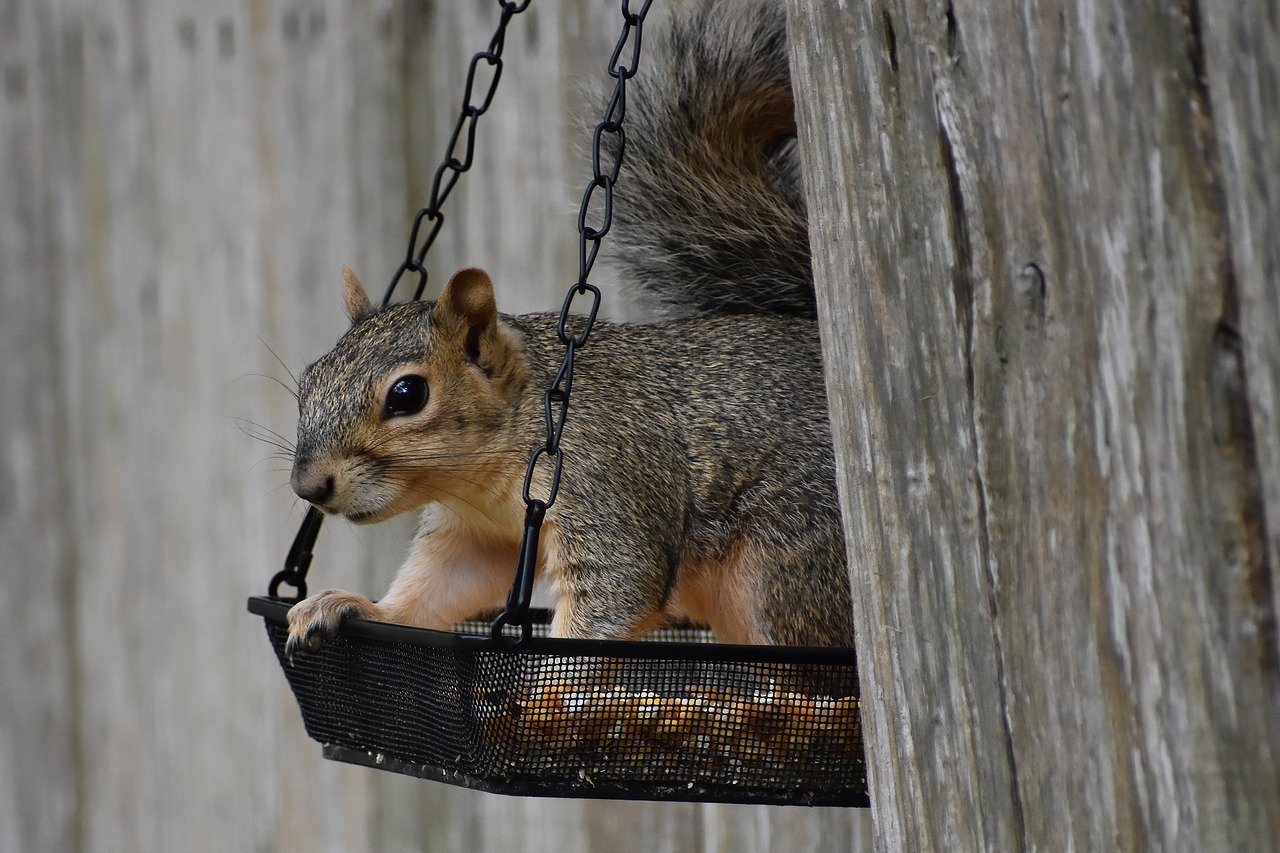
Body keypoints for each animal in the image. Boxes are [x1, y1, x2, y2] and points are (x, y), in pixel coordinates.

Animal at [285, 1, 855, 650]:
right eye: (308, 380)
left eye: (408, 394)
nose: (308, 487)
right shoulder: (474, 536)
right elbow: (438, 589)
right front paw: (354, 605)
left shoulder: (601, 479)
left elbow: (616, 586)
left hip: (788, 564)